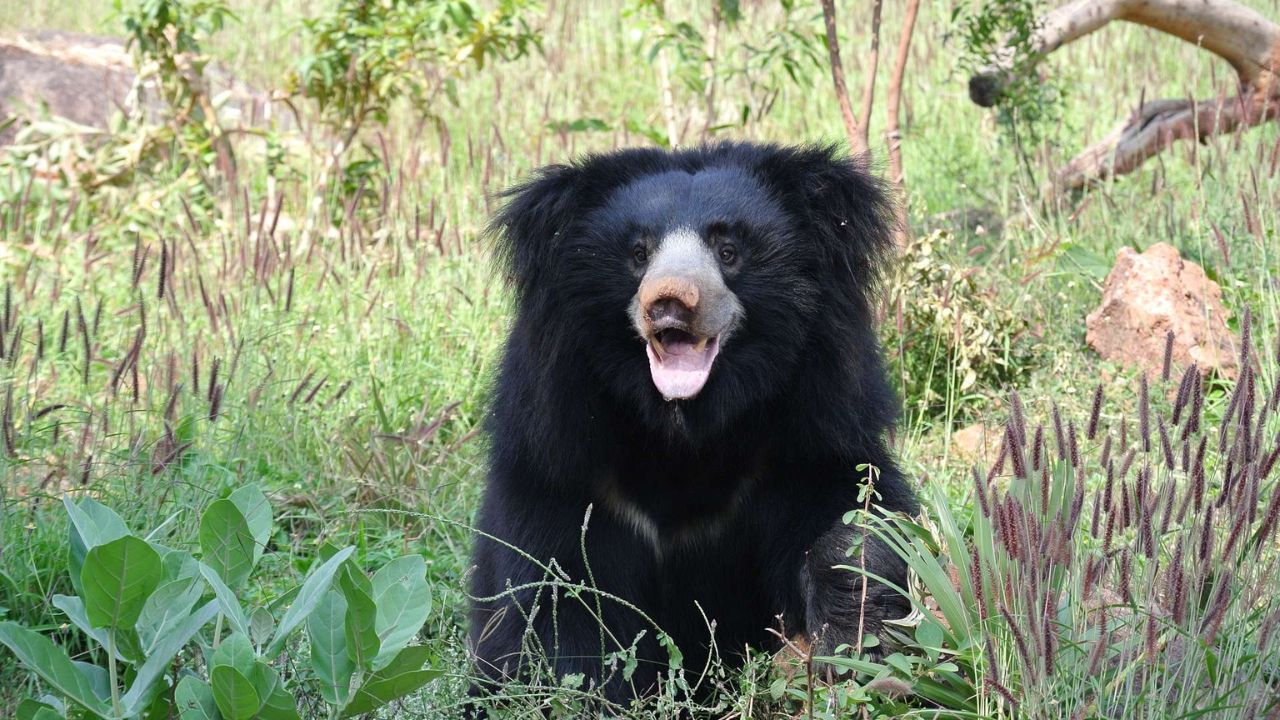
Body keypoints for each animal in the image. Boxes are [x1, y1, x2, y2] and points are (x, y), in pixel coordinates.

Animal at [471, 140, 911, 702]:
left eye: (728, 251)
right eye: (639, 253)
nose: (670, 301)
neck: (684, 427)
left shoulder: (812, 423)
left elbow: (850, 512)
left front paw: (852, 634)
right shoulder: (558, 452)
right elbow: (553, 589)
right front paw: (579, 689)